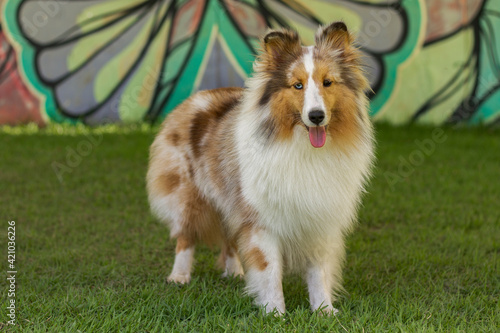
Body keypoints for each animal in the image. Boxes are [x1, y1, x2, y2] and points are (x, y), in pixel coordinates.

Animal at [146, 21, 374, 314]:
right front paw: (275, 312)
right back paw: (179, 277)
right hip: (188, 196)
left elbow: (318, 270)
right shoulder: (263, 220)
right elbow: (270, 269)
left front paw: (324, 310)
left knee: (229, 238)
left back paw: (234, 272)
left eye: (327, 82)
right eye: (297, 85)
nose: (316, 116)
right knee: (185, 237)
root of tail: (196, 97)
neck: (302, 147)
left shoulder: (319, 217)